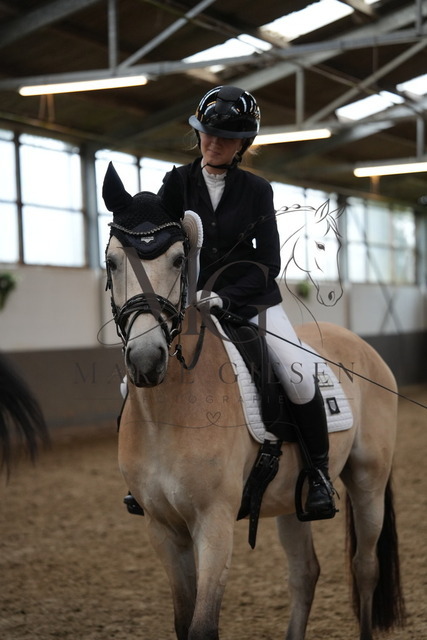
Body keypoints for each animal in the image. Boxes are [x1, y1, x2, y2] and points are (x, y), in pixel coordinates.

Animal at [103, 163, 405, 640]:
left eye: (178, 259)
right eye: (113, 261)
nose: (147, 359)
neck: (166, 412)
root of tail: (364, 346)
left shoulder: (214, 522)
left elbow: (202, 626)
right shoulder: (162, 528)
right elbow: (182, 621)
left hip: (368, 478)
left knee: (365, 567)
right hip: (291, 497)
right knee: (305, 572)